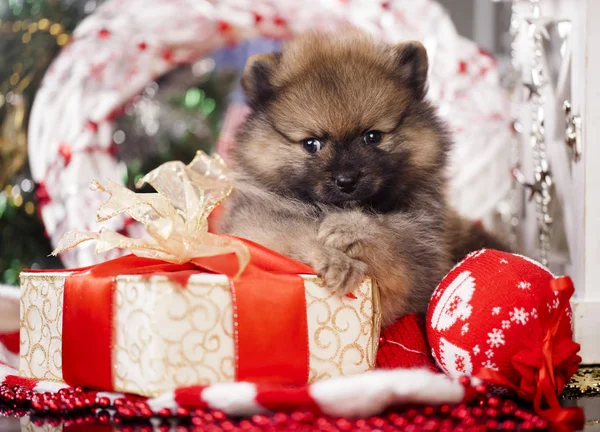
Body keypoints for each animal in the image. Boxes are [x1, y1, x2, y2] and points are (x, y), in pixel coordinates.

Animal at [216, 30, 506, 326]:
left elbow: (391, 237)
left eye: (372, 136)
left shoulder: (419, 254)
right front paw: (334, 259)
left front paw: (351, 229)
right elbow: (290, 234)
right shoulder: (252, 226)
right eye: (311, 144)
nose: (346, 180)